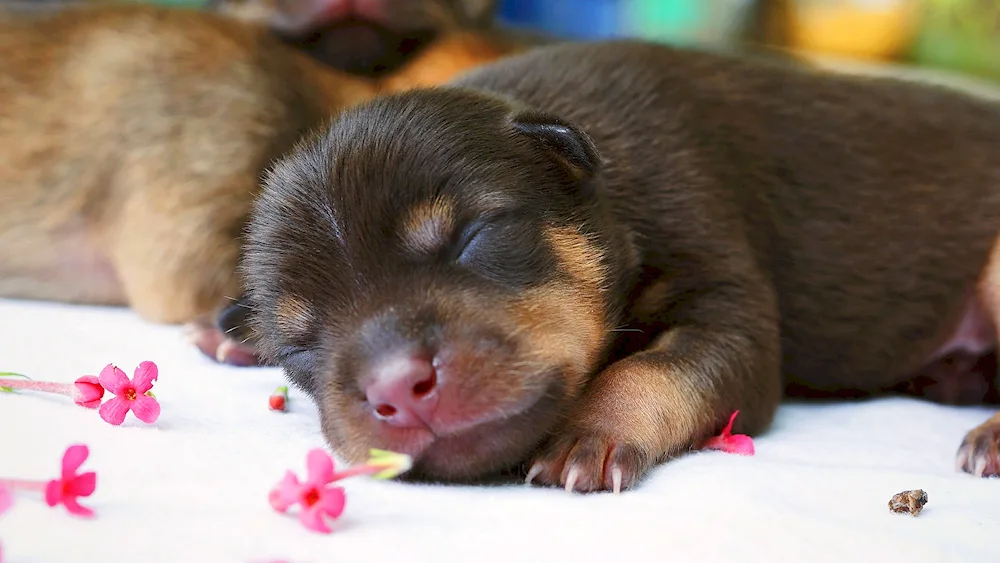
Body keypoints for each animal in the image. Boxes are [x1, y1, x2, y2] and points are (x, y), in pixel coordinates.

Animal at [240, 39, 1000, 494]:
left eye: (471, 239)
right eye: (299, 345)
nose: (397, 387)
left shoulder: (723, 296)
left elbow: (647, 368)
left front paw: (592, 432)